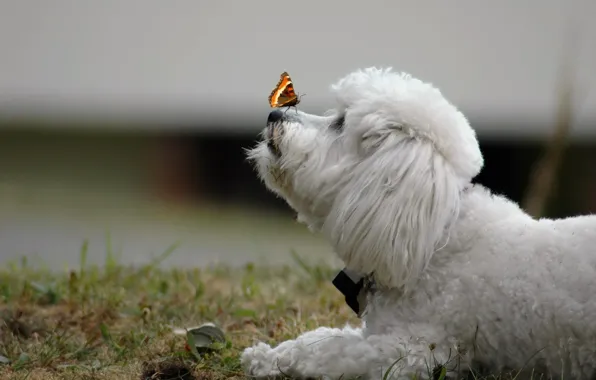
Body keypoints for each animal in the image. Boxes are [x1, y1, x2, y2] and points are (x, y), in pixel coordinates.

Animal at [241, 67, 596, 378]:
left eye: (341, 123)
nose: (274, 116)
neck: (436, 237)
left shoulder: (414, 352)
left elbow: (330, 351)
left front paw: (272, 360)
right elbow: (321, 337)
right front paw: (267, 355)